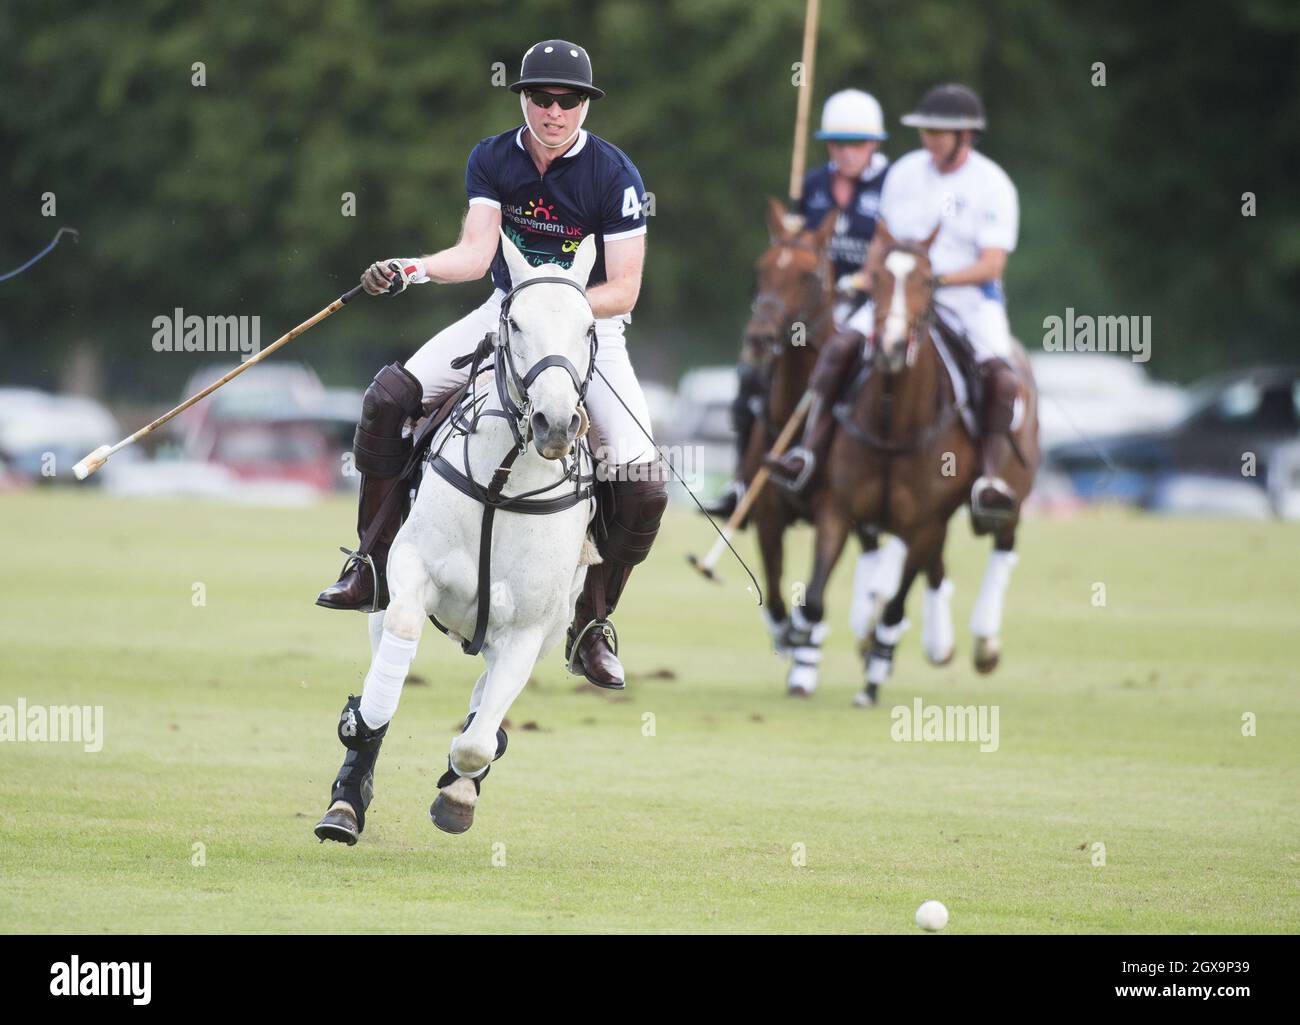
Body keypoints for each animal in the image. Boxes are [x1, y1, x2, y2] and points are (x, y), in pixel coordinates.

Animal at [317, 234, 600, 842]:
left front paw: (459, 792)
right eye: (515, 322)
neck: (501, 482)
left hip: (547, 630)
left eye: (590, 327)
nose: (556, 424)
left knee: (485, 702)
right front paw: (360, 722)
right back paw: (346, 801)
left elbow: (475, 743)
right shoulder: (410, 568)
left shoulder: (528, 630)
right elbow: (394, 659)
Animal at [790, 226, 1034, 702]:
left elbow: (896, 605)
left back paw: (983, 643)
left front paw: (872, 680)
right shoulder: (838, 509)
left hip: (1010, 493)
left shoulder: (924, 522)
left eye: (926, 280)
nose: (889, 347)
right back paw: (936, 644)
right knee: (931, 569)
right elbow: (816, 593)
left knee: (1003, 541)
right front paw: (802, 661)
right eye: (877, 277)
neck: (892, 424)